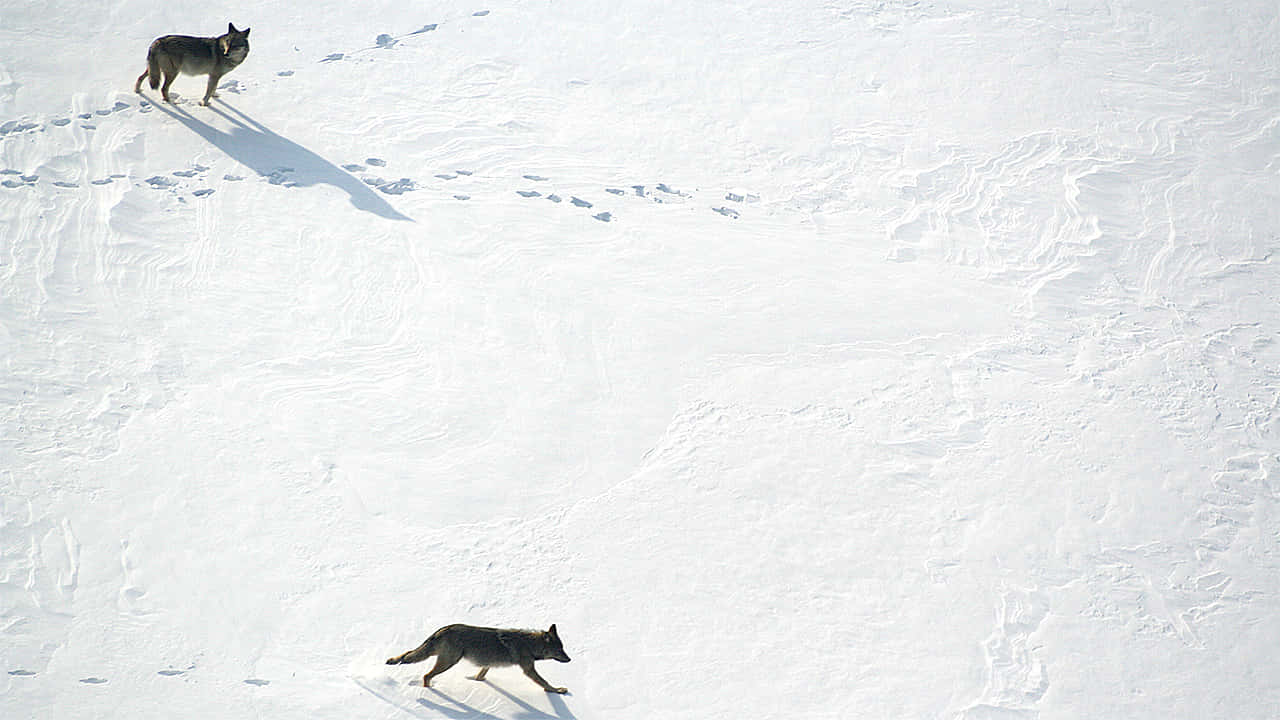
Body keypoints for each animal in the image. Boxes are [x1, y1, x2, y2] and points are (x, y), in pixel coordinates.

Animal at [381, 622, 573, 691]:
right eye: (560, 650)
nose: (570, 660)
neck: (530, 645)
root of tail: (443, 629)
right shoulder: (528, 669)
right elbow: (545, 683)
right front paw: (557, 690)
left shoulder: (488, 663)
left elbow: (481, 674)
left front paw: (476, 679)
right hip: (448, 662)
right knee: (426, 675)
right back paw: (430, 690)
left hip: (439, 657)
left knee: (407, 654)